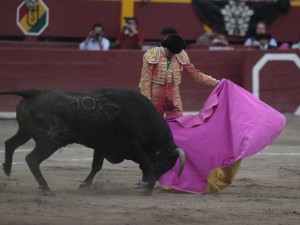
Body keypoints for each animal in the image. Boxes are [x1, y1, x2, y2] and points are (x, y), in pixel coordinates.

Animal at [0, 89, 184, 194]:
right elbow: (146, 161)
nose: (144, 181)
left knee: (10, 143)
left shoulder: (102, 145)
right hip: (51, 139)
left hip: (25, 131)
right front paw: (149, 186)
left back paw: (7, 169)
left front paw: (84, 185)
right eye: (165, 165)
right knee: (32, 159)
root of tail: (34, 93)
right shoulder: (130, 144)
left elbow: (96, 166)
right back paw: (46, 188)